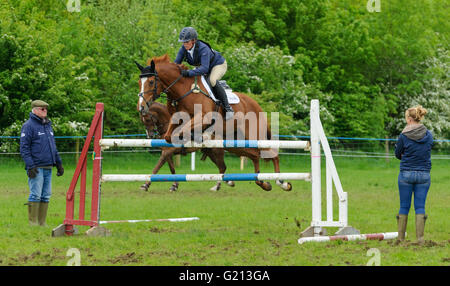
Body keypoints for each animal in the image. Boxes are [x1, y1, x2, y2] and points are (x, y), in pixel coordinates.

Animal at [134, 54, 292, 191]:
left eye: (151, 82)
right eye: (139, 82)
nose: (141, 107)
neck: (182, 90)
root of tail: (256, 105)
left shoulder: (203, 118)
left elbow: (164, 159)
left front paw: (148, 185)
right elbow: (169, 141)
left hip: (253, 136)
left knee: (271, 154)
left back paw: (282, 182)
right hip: (234, 142)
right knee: (253, 155)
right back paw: (262, 183)